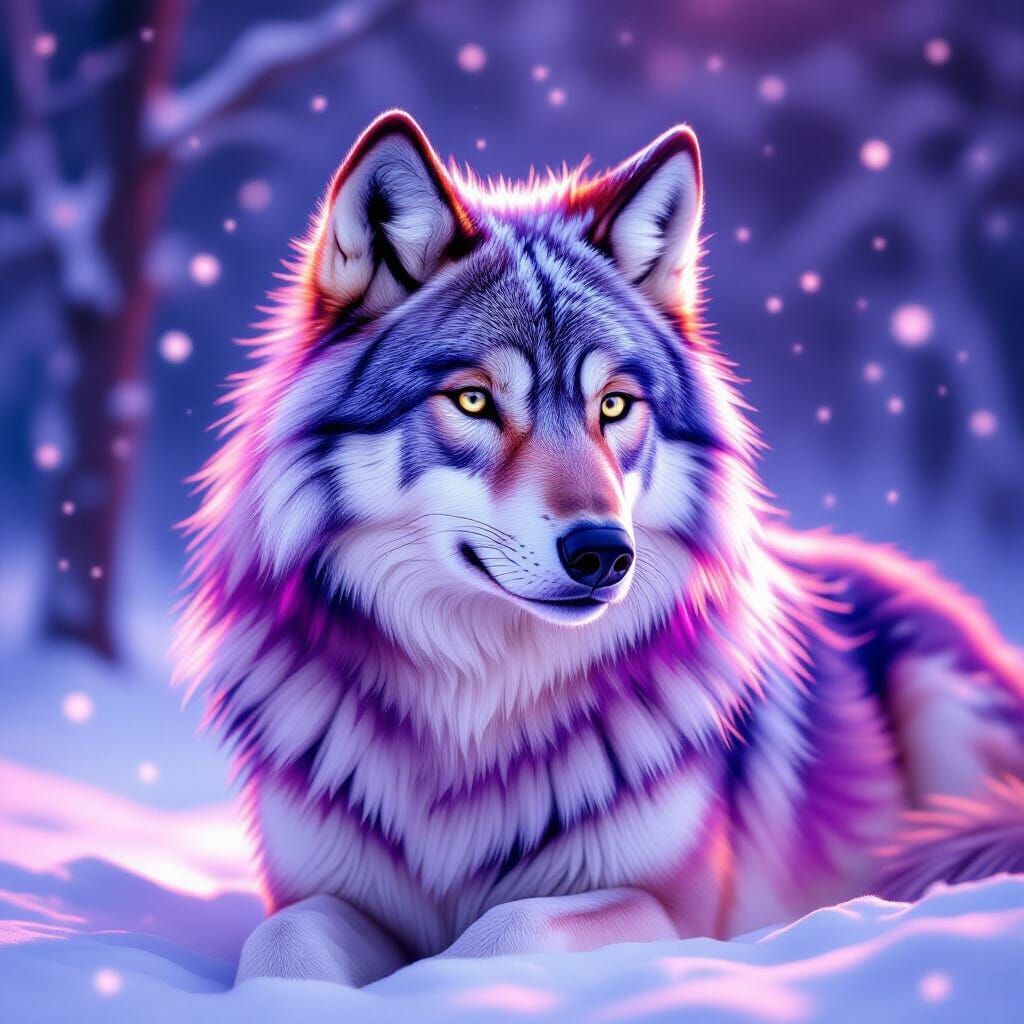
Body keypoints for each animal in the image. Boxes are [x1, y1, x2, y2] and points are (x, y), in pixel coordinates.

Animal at [174, 110, 1024, 986]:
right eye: (473, 401)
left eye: (614, 406)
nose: (604, 553)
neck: (472, 711)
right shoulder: (314, 895)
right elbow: (280, 949)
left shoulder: (676, 915)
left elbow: (500, 934)